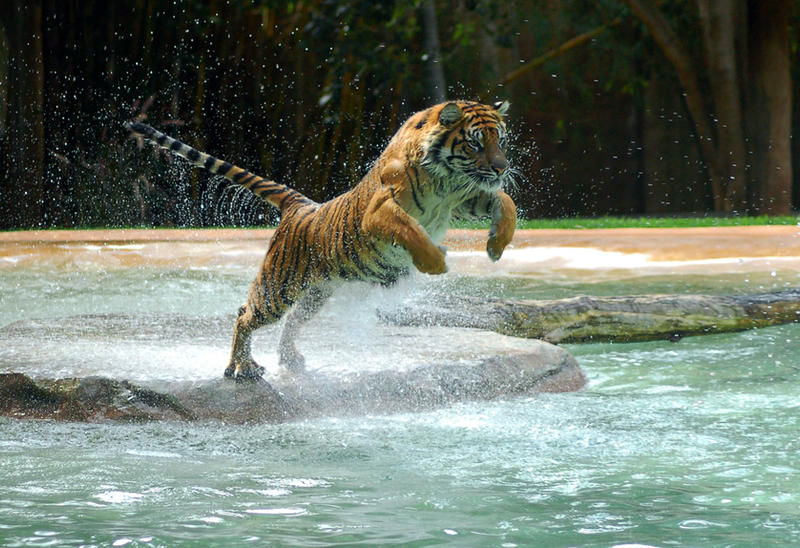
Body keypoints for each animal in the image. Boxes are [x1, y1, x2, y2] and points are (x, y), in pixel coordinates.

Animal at [126, 100, 517, 382]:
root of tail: (300, 205)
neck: (446, 180)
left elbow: (505, 202)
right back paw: (242, 369)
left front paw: (496, 245)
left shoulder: (467, 197)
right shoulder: (380, 211)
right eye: (475, 142)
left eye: (500, 140)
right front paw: (435, 261)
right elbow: (411, 230)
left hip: (316, 292)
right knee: (244, 315)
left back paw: (290, 361)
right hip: (278, 287)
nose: (502, 167)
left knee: (290, 322)